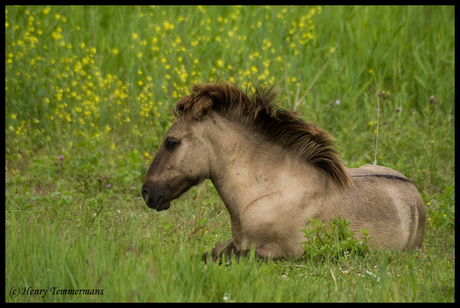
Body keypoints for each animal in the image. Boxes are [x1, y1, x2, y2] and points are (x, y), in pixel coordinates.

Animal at [142, 81, 426, 260]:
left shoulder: (279, 253)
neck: (264, 192)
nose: (147, 193)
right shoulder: (234, 243)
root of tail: (415, 196)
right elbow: (204, 256)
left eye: (171, 142)